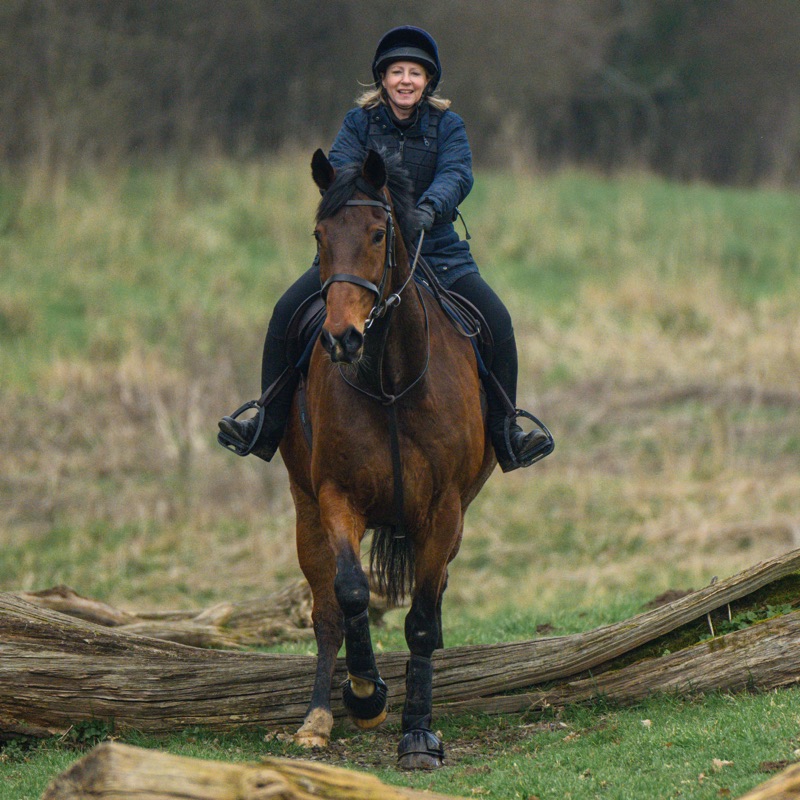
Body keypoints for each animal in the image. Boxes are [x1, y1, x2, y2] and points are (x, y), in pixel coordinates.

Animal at [279, 147, 495, 769]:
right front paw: (365, 693)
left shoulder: (446, 508)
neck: (392, 381)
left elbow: (421, 619)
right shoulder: (336, 496)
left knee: (434, 594)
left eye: (380, 234)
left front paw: (418, 734)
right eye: (320, 235)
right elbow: (351, 593)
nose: (341, 339)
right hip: (305, 509)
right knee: (325, 610)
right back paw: (317, 718)